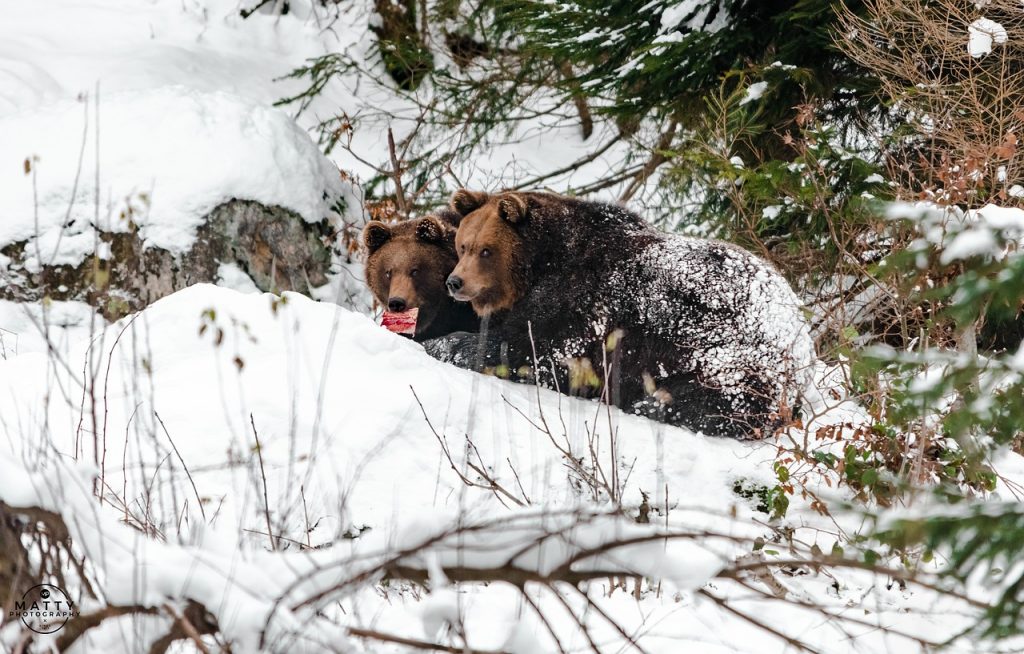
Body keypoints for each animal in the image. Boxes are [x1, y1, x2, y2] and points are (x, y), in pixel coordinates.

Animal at [444, 186, 811, 438]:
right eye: (464, 245)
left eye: (486, 250)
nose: (455, 282)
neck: (543, 260)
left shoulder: (582, 300)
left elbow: (528, 350)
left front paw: (449, 342)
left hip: (729, 355)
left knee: (718, 400)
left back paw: (648, 404)